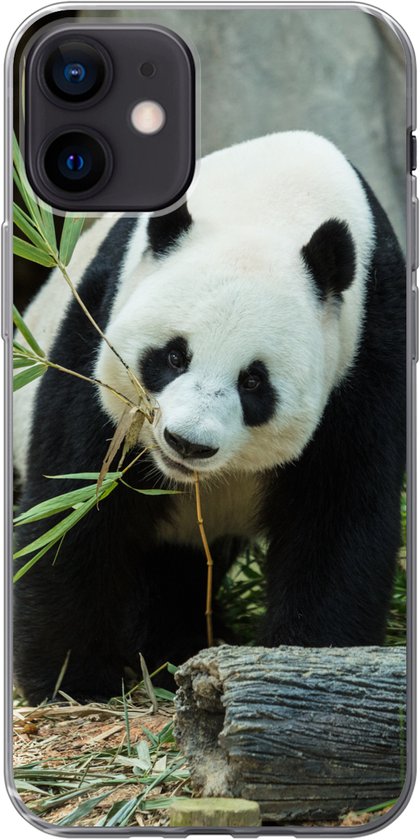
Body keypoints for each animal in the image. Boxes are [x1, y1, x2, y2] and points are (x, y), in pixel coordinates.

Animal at [13, 131, 406, 704]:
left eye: (254, 382)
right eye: (174, 356)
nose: (187, 443)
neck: (272, 200)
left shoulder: (365, 355)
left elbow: (338, 520)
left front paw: (307, 662)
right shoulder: (98, 326)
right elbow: (77, 505)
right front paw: (73, 681)